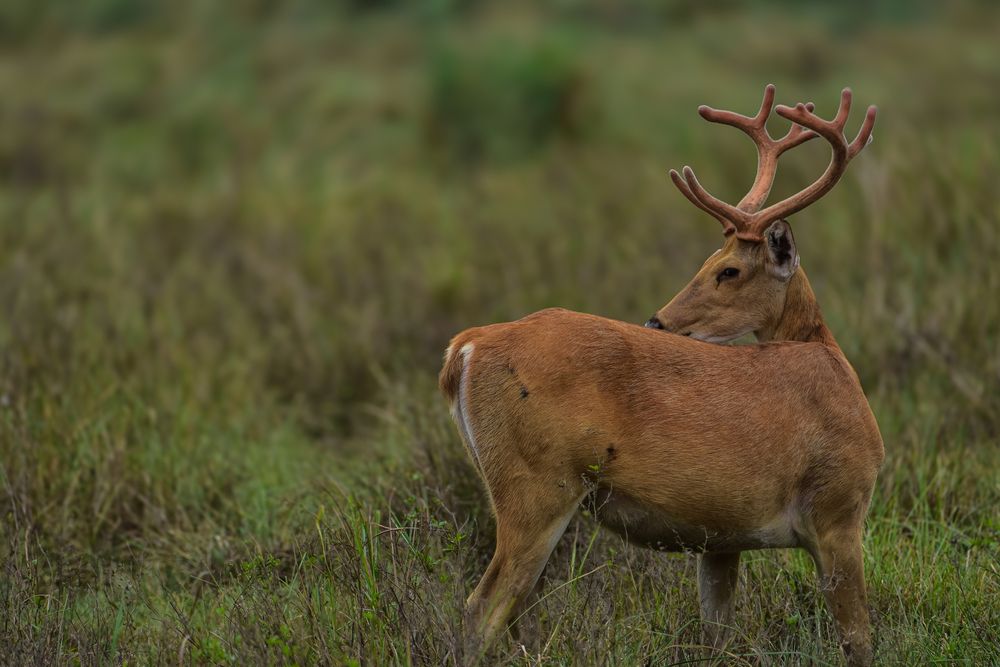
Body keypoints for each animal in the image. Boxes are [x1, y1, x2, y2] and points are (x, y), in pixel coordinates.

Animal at [439, 85, 884, 666]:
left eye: (727, 269)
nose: (658, 321)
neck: (828, 359)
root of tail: (465, 348)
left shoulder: (722, 539)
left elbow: (717, 634)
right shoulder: (839, 508)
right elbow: (859, 640)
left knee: (521, 610)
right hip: (537, 486)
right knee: (482, 608)